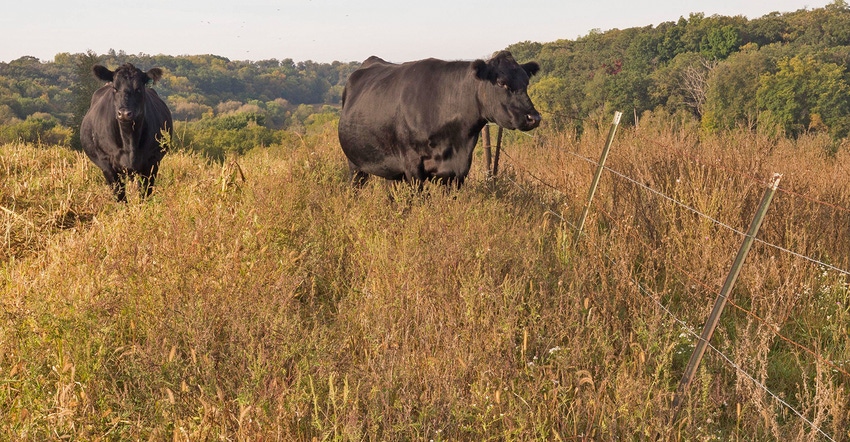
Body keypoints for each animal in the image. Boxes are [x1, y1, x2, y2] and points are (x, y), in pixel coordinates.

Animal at [80, 63, 172, 201]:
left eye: (138, 89)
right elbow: (120, 196)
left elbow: (144, 193)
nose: (124, 113)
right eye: (115, 88)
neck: (129, 140)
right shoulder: (107, 164)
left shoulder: (152, 162)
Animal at [336, 50, 540, 186]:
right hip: (355, 164)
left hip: (390, 169)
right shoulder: (413, 166)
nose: (534, 117)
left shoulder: (459, 169)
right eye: (501, 82)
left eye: (526, 82)